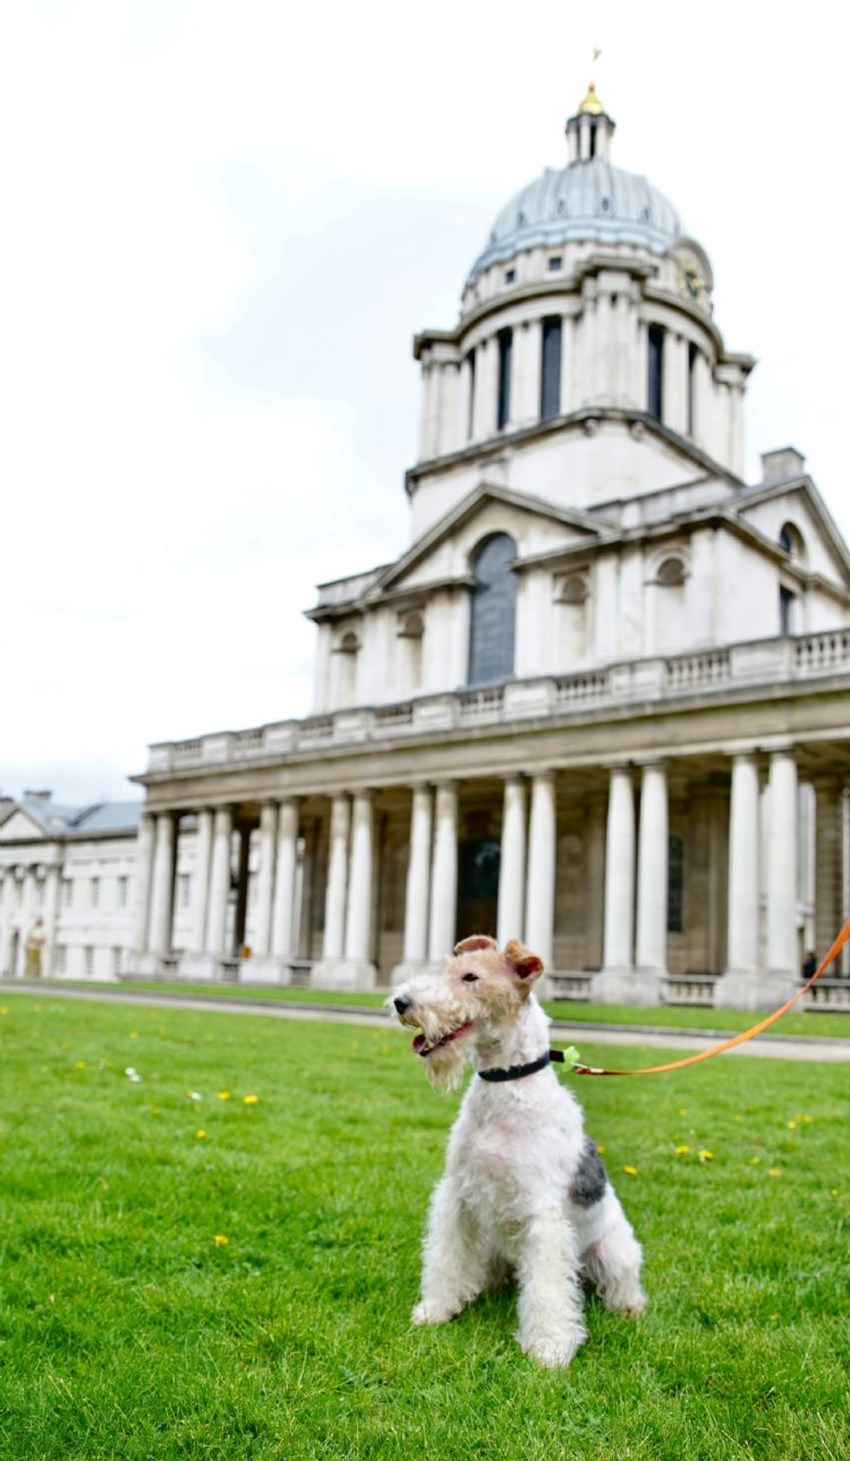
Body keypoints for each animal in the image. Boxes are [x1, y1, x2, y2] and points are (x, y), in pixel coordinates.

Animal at [390, 934, 646, 1368]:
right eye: (446, 970)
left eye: (471, 977)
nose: (401, 1002)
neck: (506, 1083)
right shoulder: (457, 1194)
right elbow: (445, 1257)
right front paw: (435, 1309)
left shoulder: (543, 1216)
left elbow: (547, 1288)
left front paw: (548, 1348)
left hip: (613, 1250)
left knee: (618, 1283)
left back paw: (629, 1308)